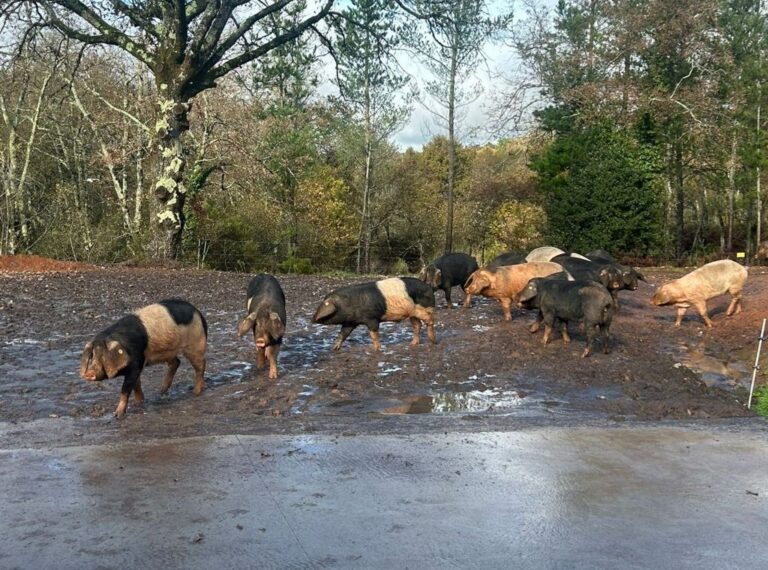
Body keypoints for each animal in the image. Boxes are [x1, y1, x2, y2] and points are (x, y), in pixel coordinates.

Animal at [79, 299, 207, 418]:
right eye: (92, 356)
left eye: (103, 355)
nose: (89, 373)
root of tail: (197, 312)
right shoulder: (137, 367)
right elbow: (136, 386)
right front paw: (138, 403)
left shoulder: (136, 364)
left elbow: (125, 389)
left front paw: (117, 415)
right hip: (168, 351)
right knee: (176, 362)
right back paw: (161, 391)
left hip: (195, 344)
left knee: (200, 366)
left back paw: (196, 392)